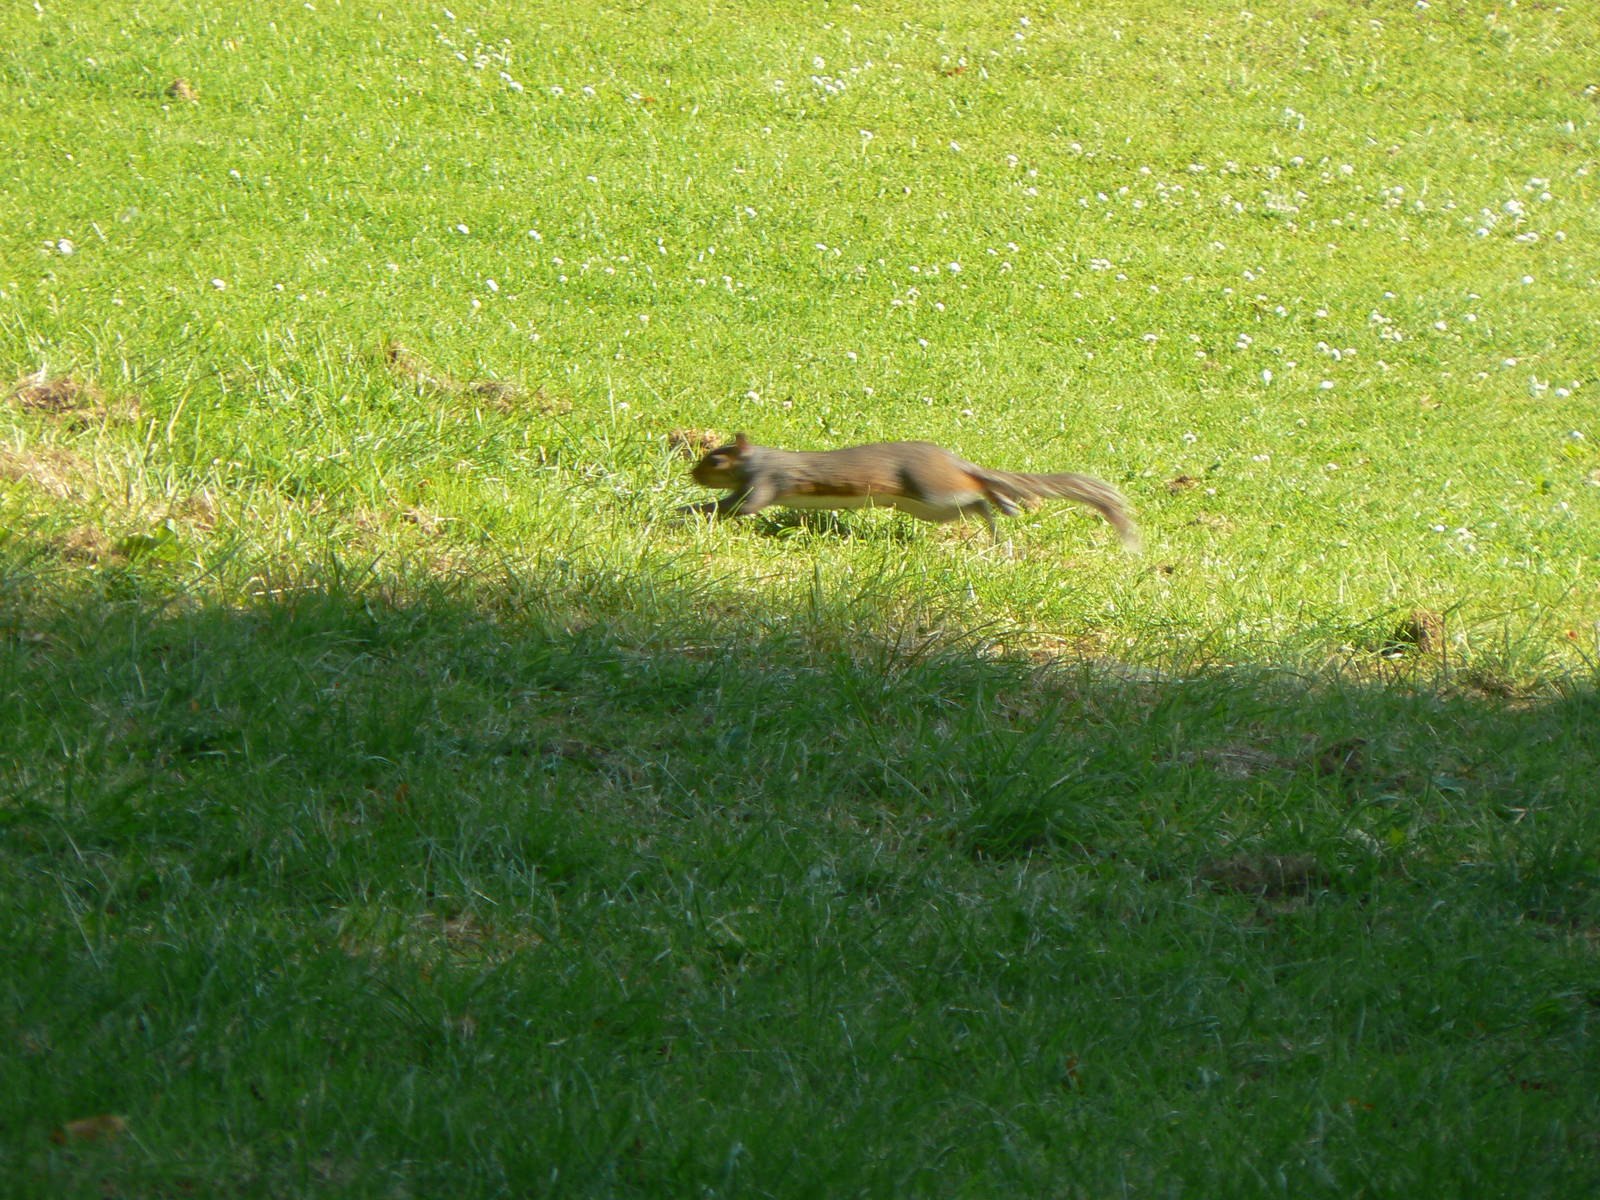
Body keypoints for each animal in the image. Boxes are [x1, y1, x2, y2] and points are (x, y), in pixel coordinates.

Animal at [681, 433, 1140, 551]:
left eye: (716, 461)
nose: (692, 474)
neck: (762, 459)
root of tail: (955, 461)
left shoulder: (765, 484)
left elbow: (738, 508)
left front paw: (692, 509)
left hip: (934, 494)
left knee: (978, 494)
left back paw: (1003, 502)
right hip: (930, 508)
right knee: (977, 502)